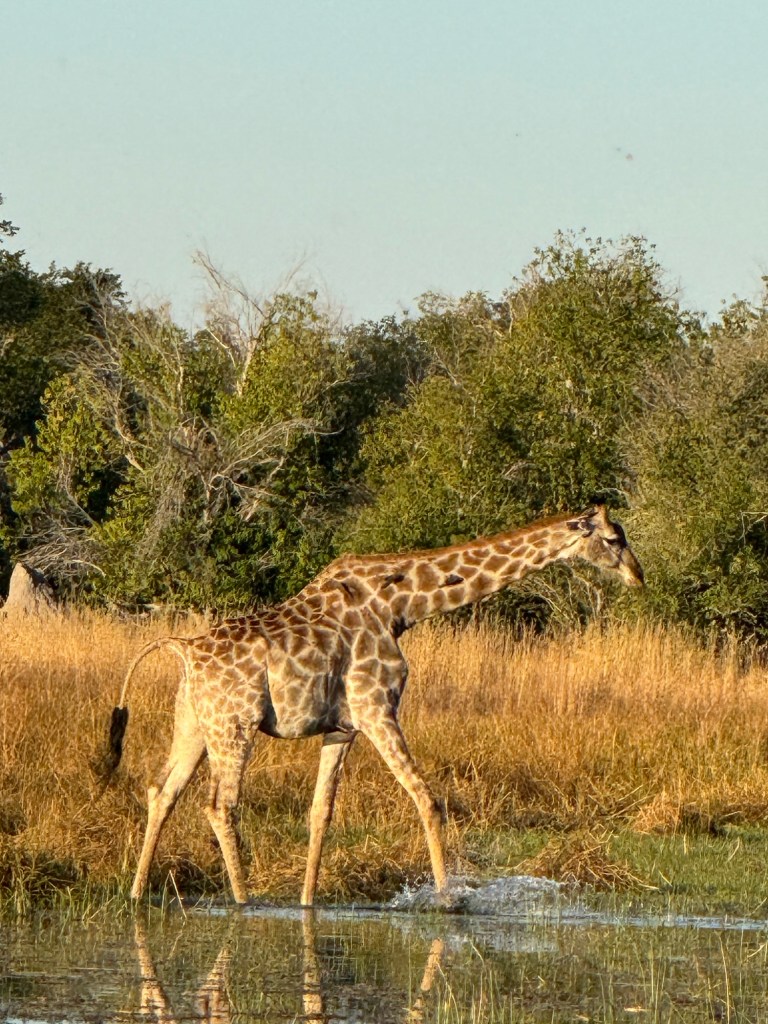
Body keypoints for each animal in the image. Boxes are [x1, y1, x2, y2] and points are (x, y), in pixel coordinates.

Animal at [107, 504, 643, 906]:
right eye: (614, 538)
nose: (638, 576)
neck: (402, 605)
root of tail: (183, 649)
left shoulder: (342, 726)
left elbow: (320, 812)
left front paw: (308, 902)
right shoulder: (377, 707)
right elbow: (427, 799)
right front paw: (447, 901)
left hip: (194, 723)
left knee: (162, 791)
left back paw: (136, 891)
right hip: (234, 723)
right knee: (220, 804)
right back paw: (244, 901)